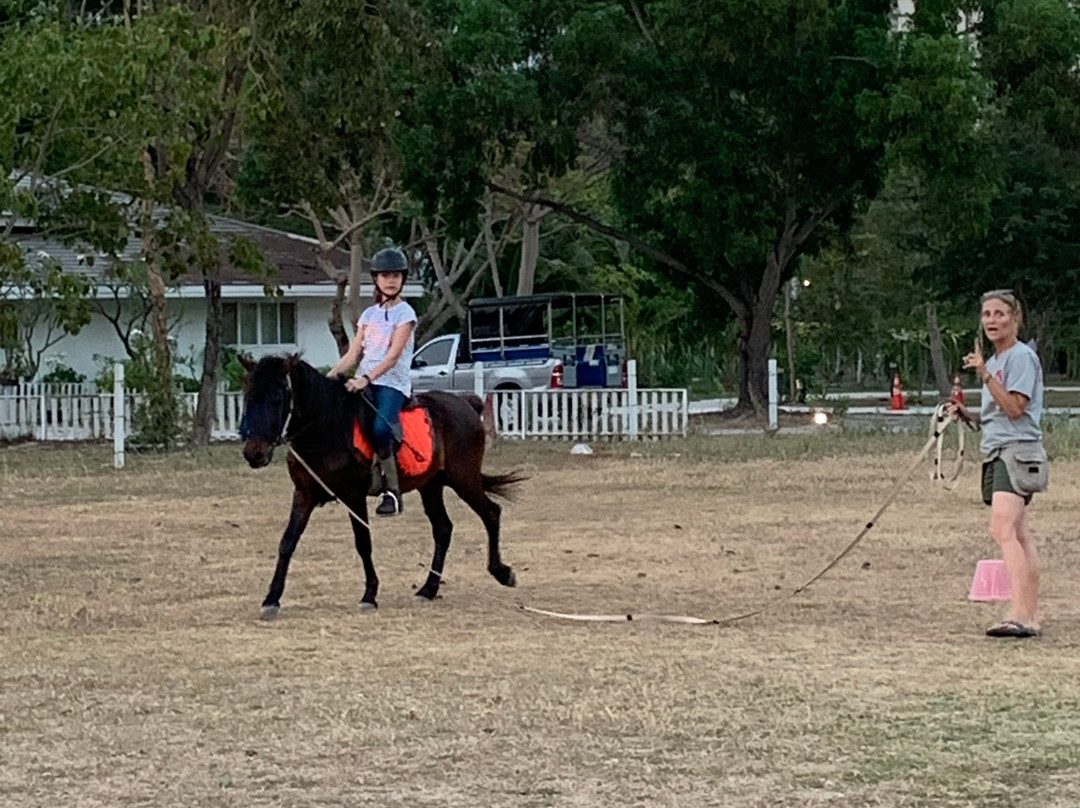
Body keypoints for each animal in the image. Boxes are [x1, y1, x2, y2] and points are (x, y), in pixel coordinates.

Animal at [238, 354, 525, 619]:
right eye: (248, 396)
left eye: (277, 398)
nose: (254, 454)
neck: (326, 427)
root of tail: (466, 403)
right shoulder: (303, 493)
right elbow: (287, 542)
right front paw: (271, 599)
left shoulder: (353, 496)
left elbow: (363, 542)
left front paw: (369, 595)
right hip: (431, 485)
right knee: (443, 529)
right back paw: (428, 589)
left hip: (463, 479)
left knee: (491, 513)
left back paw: (502, 572)